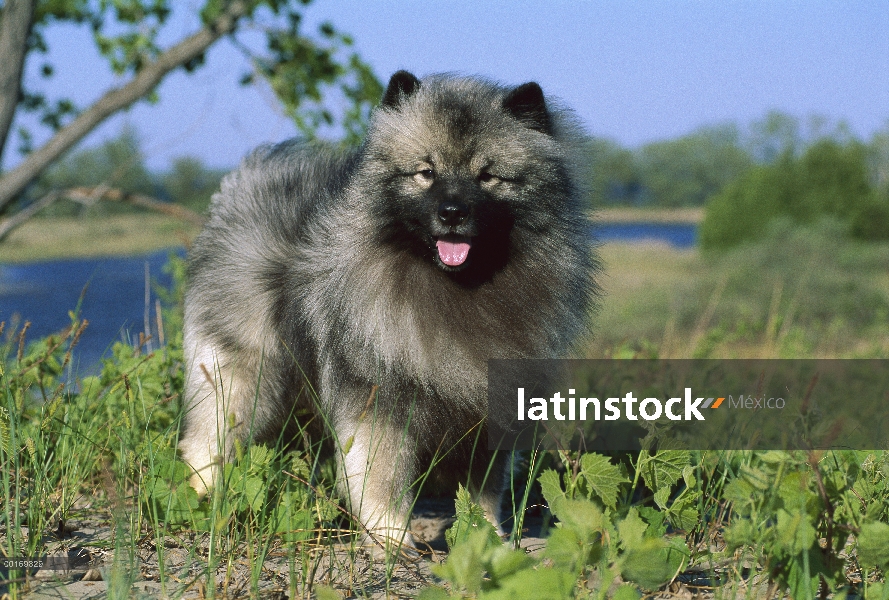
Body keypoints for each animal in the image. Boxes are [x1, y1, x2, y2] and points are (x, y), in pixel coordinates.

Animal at [179, 72, 596, 556]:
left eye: (487, 176)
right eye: (426, 172)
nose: (452, 212)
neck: (457, 290)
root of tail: (239, 186)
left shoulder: (484, 406)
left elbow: (483, 490)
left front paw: (486, 537)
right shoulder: (382, 398)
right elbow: (380, 478)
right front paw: (391, 538)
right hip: (243, 374)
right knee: (208, 438)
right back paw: (201, 495)